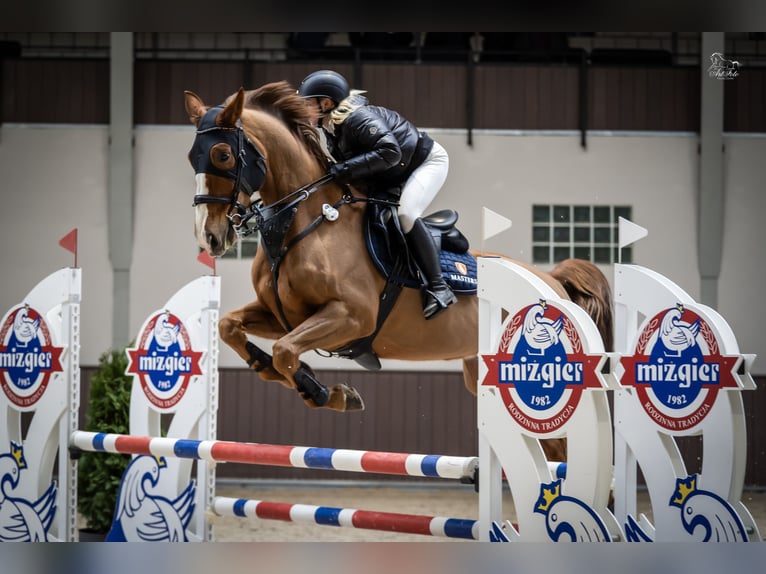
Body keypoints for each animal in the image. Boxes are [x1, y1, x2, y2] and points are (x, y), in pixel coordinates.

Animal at [183, 81, 614, 461]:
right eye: (192, 158)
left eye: (222, 155)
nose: (210, 237)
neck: (306, 220)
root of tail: (553, 279)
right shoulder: (283, 314)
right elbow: (233, 329)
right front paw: (270, 367)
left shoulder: (351, 317)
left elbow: (286, 352)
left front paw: (329, 393)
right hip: (480, 371)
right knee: (551, 446)